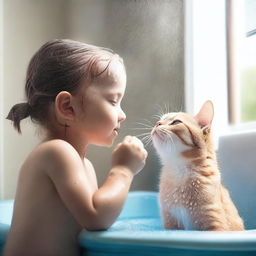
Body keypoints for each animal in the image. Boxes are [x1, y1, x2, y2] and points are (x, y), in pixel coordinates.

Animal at [152, 101, 244, 231]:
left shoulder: (214, 223)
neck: (179, 172)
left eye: (176, 122)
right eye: (160, 120)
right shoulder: (171, 222)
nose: (157, 123)